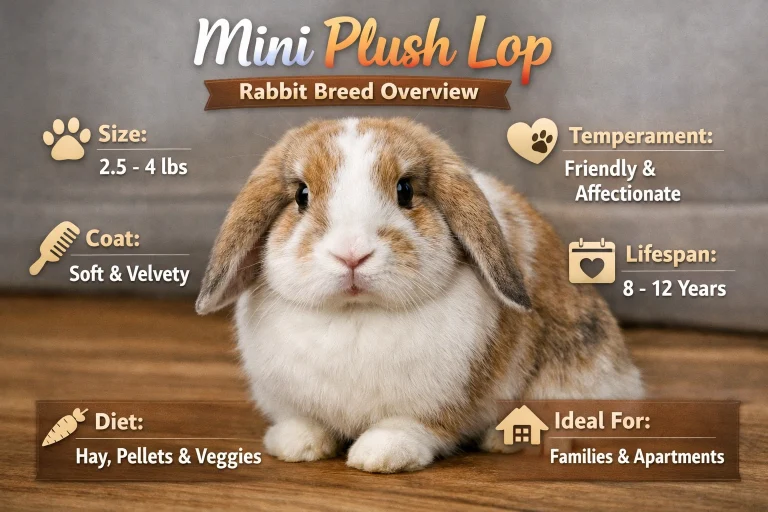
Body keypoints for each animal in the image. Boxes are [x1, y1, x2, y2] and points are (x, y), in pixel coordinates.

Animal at [196, 117, 643, 473]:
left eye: (405, 190)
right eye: (301, 196)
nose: (352, 254)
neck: (356, 315)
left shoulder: (435, 406)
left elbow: (412, 427)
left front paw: (379, 455)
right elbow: (302, 421)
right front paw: (296, 445)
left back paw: (506, 439)